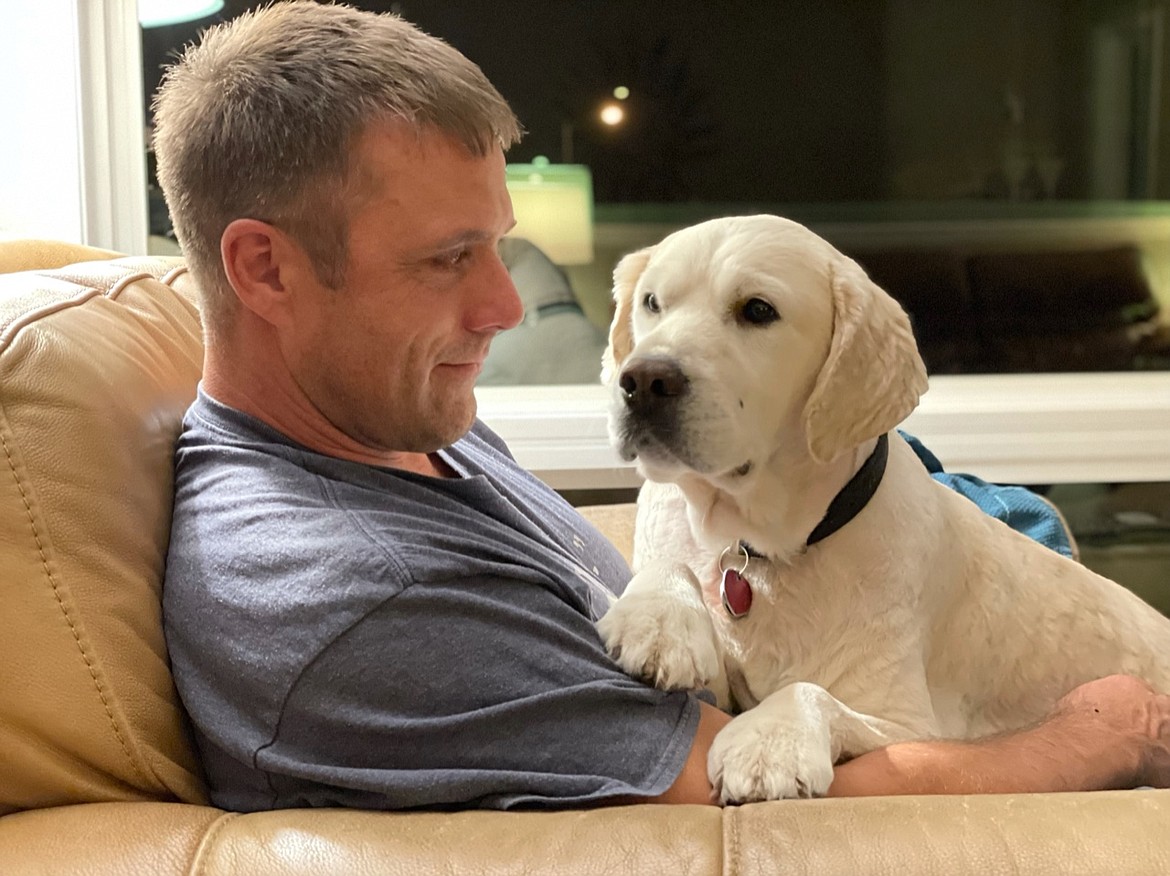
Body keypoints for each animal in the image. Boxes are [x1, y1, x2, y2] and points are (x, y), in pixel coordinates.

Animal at [599, 215, 1170, 804]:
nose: (643, 381)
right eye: (652, 302)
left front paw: (770, 743)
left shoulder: (909, 724)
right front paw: (660, 623)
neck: (756, 546)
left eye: (757, 310)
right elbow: (672, 567)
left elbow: (809, 691)